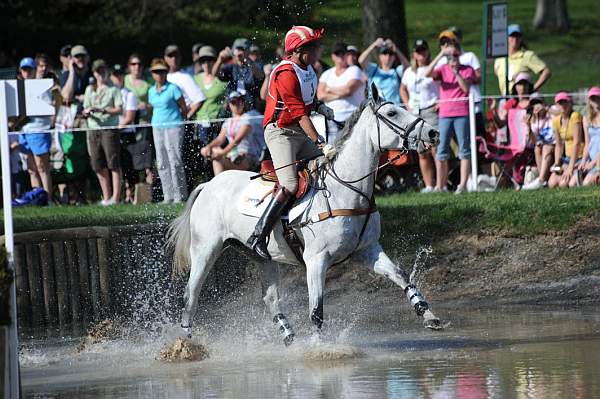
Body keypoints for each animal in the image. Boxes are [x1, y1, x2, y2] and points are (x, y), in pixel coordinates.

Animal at [166, 86, 442, 346]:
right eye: (392, 113)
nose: (432, 133)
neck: (346, 189)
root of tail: (208, 185)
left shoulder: (368, 249)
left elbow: (401, 276)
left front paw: (428, 315)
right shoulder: (316, 260)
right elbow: (316, 311)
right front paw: (318, 348)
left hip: (262, 257)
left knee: (270, 298)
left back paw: (289, 337)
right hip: (205, 250)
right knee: (191, 295)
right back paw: (186, 344)